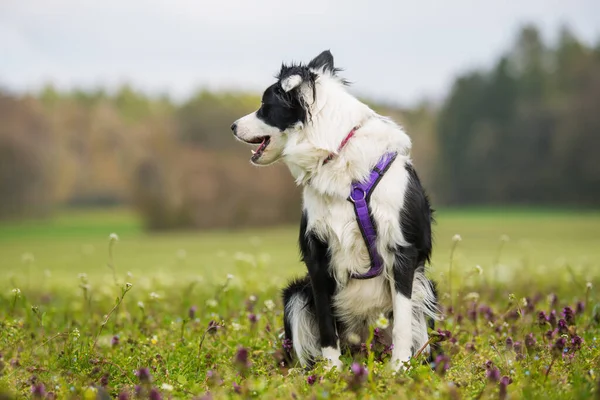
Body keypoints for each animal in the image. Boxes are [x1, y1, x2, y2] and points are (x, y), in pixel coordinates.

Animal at [232, 50, 438, 372]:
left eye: (265, 106)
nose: (232, 126)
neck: (338, 155)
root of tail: (364, 347)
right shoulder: (316, 253)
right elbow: (326, 324)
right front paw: (330, 370)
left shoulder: (401, 251)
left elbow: (403, 322)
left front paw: (399, 368)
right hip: (295, 294)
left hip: (426, 287)